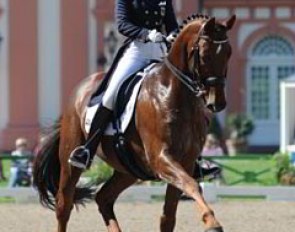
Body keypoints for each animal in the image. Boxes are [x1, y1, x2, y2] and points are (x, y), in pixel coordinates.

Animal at [33, 14, 236, 232]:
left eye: (228, 53)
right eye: (205, 55)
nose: (217, 102)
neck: (172, 93)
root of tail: (81, 88)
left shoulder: (186, 162)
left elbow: (168, 216)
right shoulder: (161, 159)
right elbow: (192, 185)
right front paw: (212, 222)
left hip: (129, 169)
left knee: (103, 198)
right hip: (70, 161)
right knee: (64, 204)